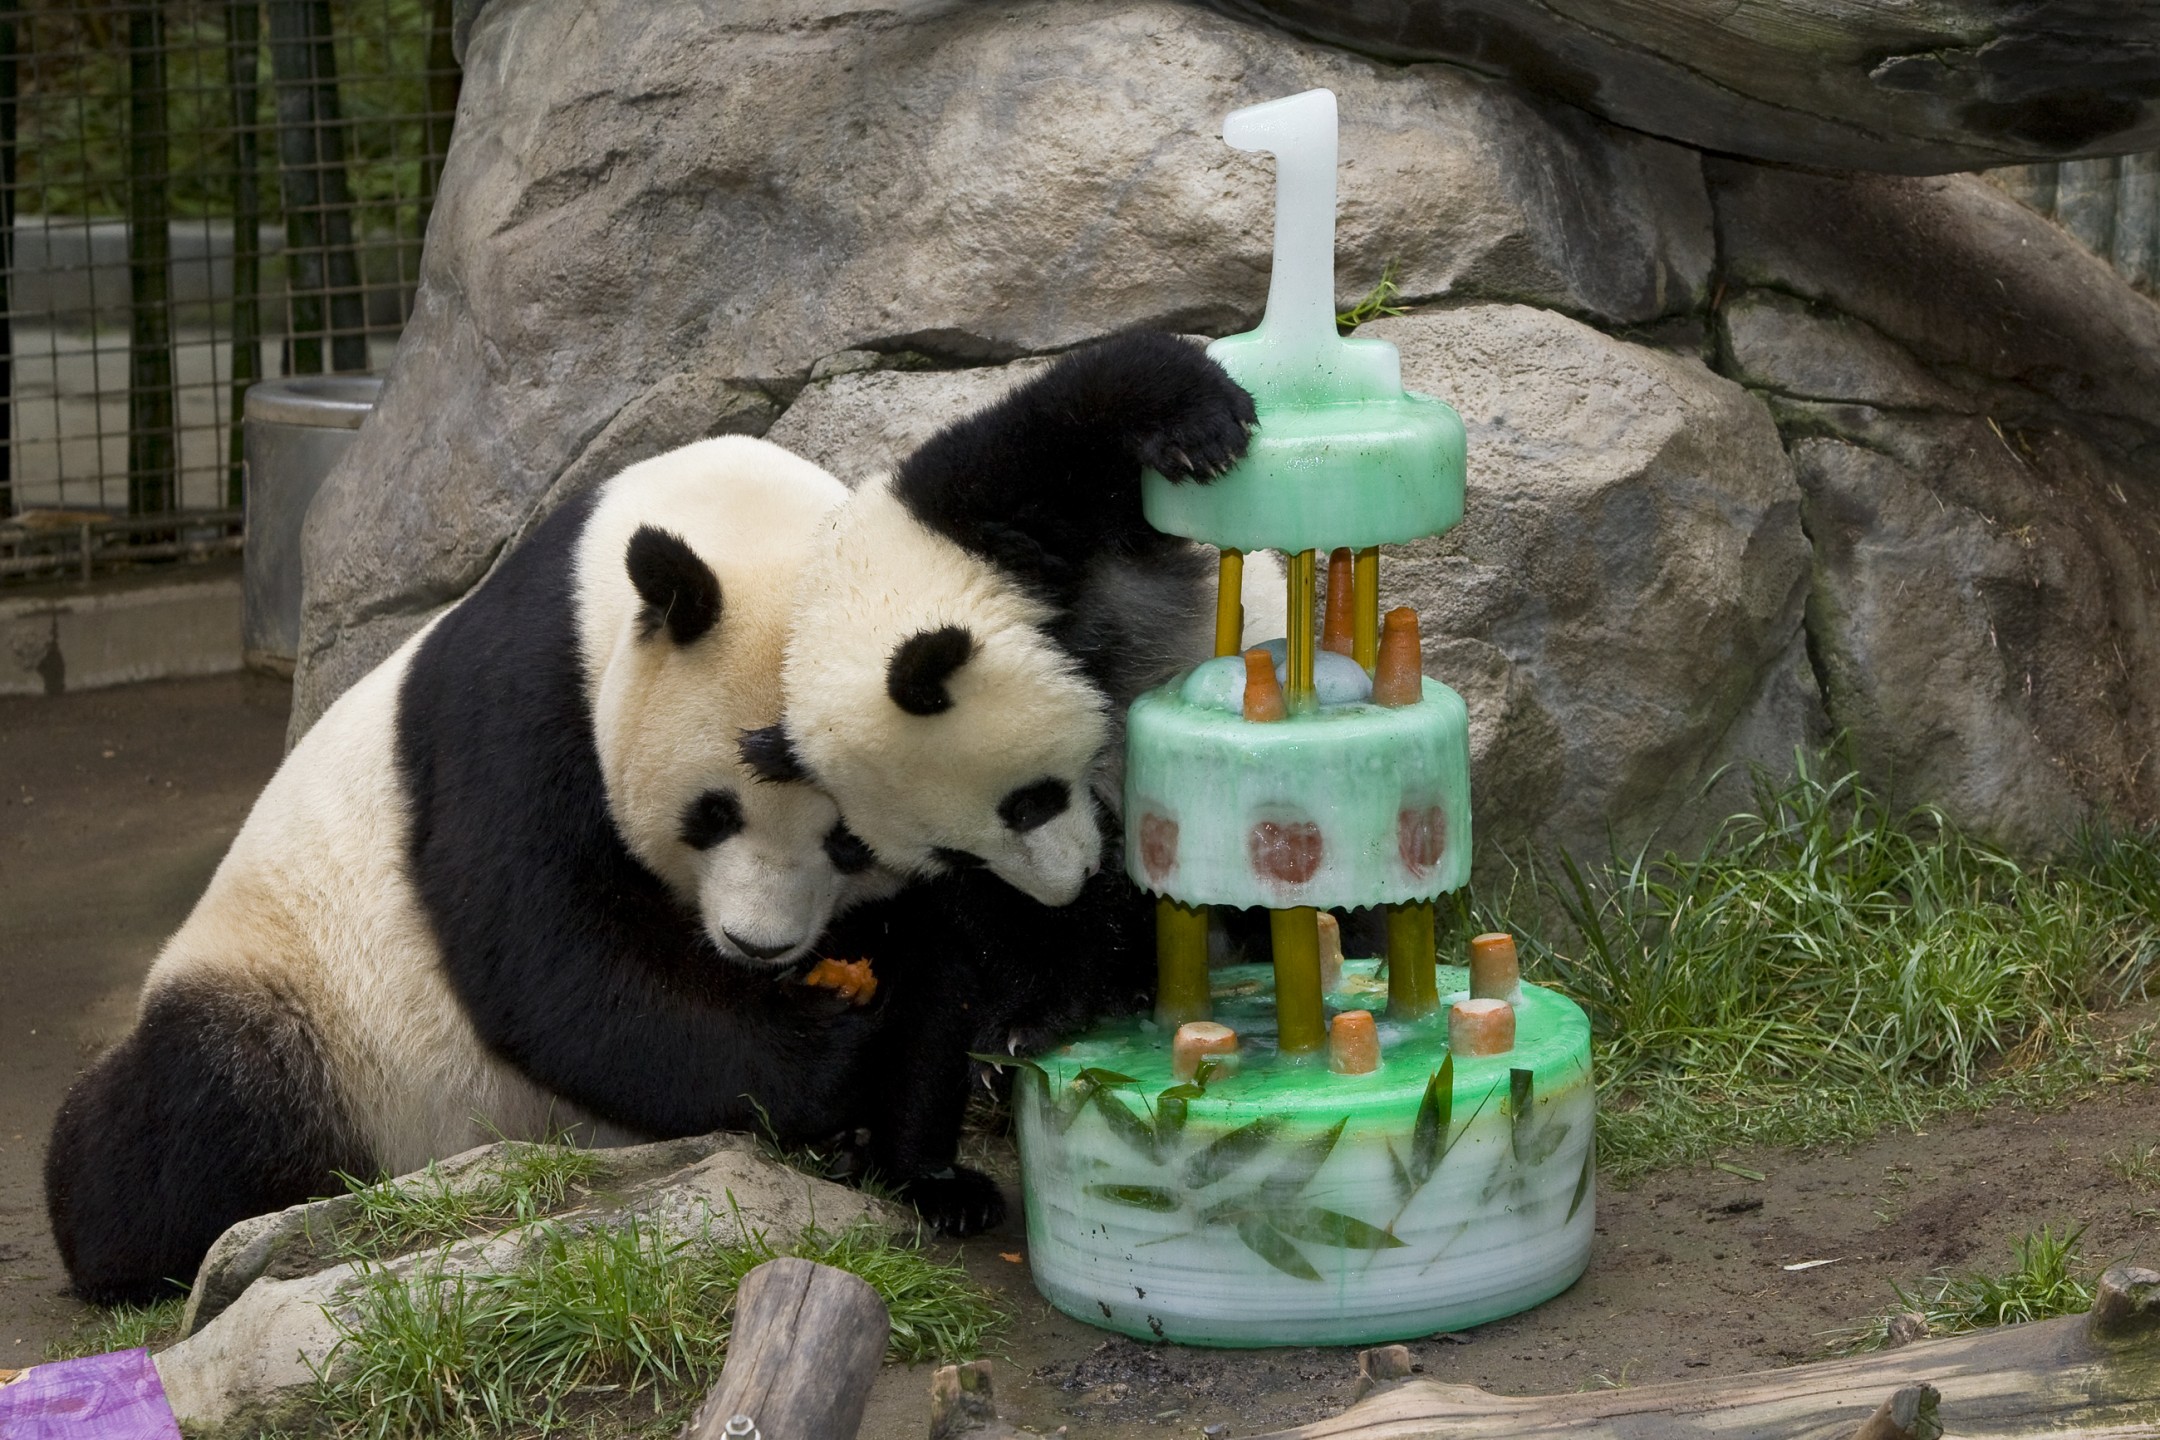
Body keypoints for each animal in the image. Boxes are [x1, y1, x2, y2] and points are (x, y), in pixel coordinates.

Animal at [42, 440, 902, 1303]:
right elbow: (549, 957)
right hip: (307, 999)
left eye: (849, 842)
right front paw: (829, 1051)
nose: (758, 947)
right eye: (714, 813)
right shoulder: (525, 699)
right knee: (200, 1109)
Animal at [777, 334, 1278, 1226]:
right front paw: (1030, 1021)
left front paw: (1201, 434)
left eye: (1028, 801)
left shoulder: (981, 509)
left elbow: (1079, 409)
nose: (1067, 882)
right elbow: (1013, 930)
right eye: (961, 855)